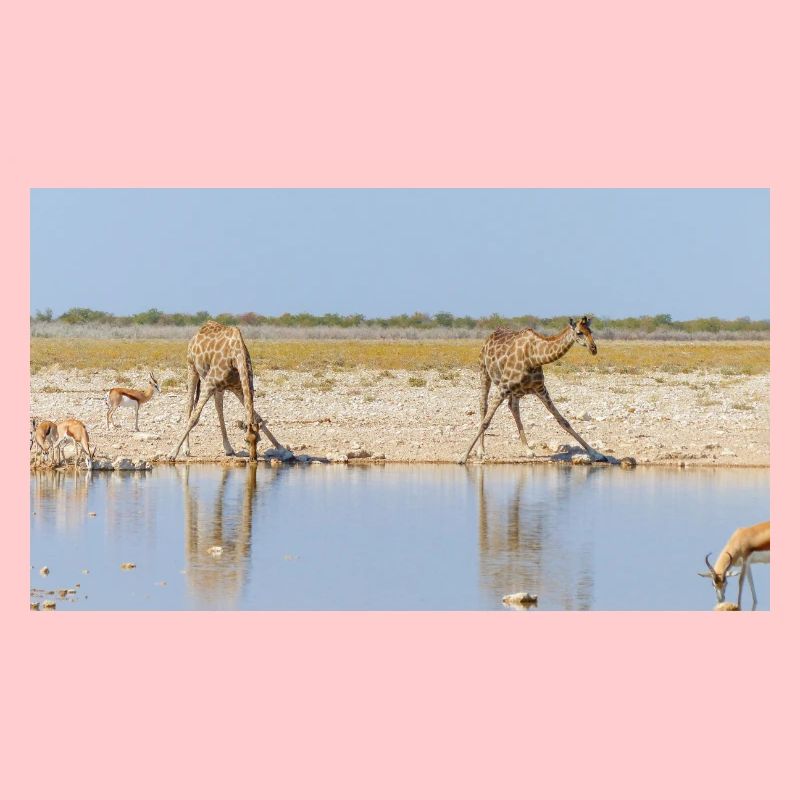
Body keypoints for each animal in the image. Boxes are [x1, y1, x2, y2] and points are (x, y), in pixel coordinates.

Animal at [168, 321, 284, 462]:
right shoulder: (209, 384)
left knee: (219, 408)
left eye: (258, 440)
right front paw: (172, 453)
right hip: (192, 367)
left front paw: (281, 448)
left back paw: (228, 448)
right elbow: (194, 419)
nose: (253, 459)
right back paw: (186, 449)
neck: (236, 356)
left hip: (220, 388)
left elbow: (257, 417)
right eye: (245, 440)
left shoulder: (238, 388)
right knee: (189, 406)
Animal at [458, 316, 608, 464]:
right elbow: (485, 422)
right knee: (483, 405)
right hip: (484, 373)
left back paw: (527, 450)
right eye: (579, 332)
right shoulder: (503, 387)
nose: (593, 349)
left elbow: (563, 421)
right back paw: (481, 450)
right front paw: (463, 456)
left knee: (513, 407)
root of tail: (491, 335)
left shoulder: (541, 389)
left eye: (591, 331)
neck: (534, 357)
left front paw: (597, 454)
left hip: (516, 391)